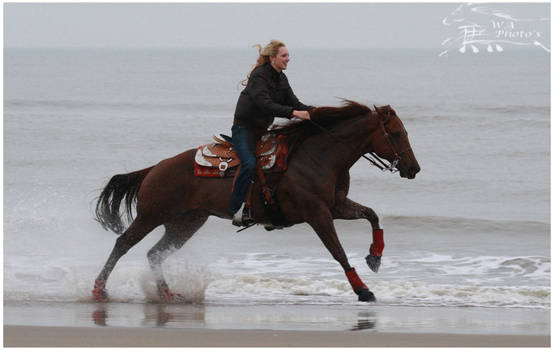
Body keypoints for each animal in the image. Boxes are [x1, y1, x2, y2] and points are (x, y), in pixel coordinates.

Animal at [91, 100, 418, 304]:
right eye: (397, 133)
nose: (413, 168)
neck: (318, 156)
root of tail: (155, 168)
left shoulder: (336, 206)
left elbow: (372, 215)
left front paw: (375, 256)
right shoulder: (317, 213)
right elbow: (338, 252)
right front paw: (363, 291)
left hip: (186, 222)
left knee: (155, 253)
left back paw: (167, 295)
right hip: (151, 215)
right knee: (124, 244)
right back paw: (99, 290)